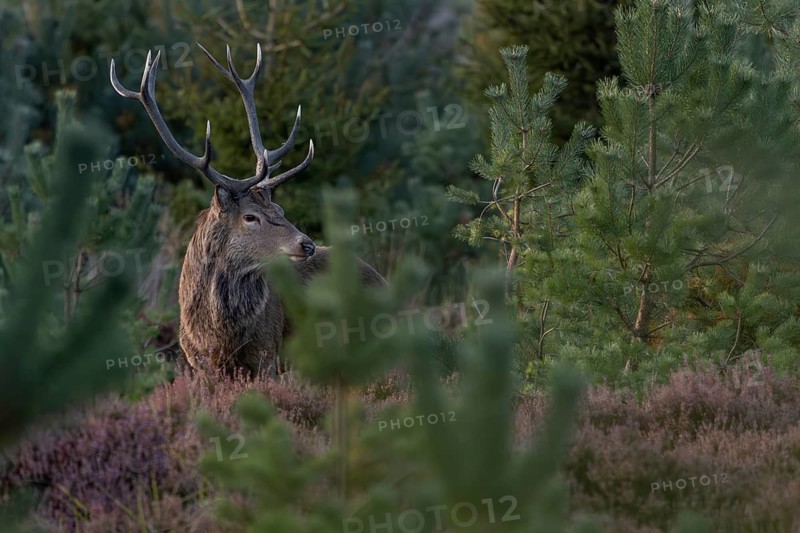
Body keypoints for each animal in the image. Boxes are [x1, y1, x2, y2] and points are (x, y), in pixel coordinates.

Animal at [110, 43, 386, 377]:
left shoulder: (268, 356)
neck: (217, 337)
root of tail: (383, 280)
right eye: (250, 217)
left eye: (279, 208)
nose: (307, 244)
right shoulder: (196, 362)